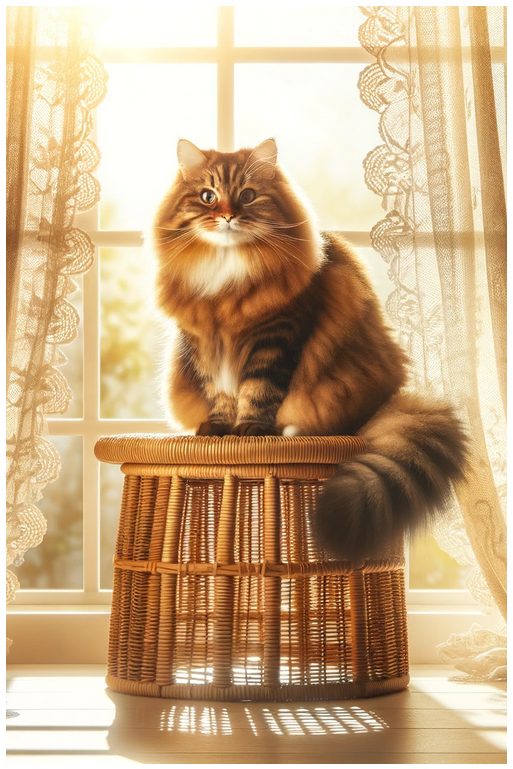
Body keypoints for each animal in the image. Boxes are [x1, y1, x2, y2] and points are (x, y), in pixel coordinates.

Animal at [153, 138, 468, 560]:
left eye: (247, 195)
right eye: (208, 196)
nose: (228, 215)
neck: (228, 273)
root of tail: (388, 395)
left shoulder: (276, 337)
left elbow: (257, 391)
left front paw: (250, 430)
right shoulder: (204, 345)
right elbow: (219, 395)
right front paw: (219, 430)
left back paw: (287, 430)